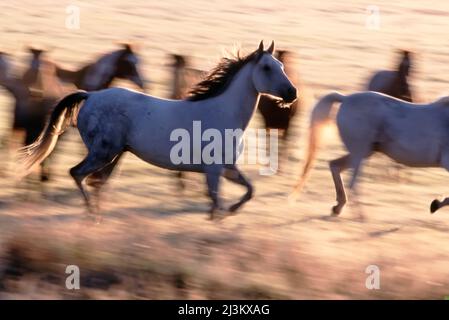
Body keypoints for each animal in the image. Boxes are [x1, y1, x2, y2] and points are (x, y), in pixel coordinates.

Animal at [19, 41, 296, 219]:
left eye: (282, 65)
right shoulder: (213, 170)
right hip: (103, 153)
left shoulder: (228, 168)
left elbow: (249, 191)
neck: (222, 114)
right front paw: (217, 220)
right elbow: (217, 200)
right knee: (77, 174)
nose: (292, 93)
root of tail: (90, 95)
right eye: (267, 68)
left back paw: (97, 214)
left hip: (114, 155)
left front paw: (230, 212)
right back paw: (91, 214)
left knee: (96, 181)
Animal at [288, 91, 448, 219]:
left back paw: (337, 208)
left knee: (335, 166)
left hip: (362, 153)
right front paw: (435, 205)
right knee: (352, 183)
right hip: (360, 154)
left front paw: (435, 204)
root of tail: (345, 99)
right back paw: (362, 218)